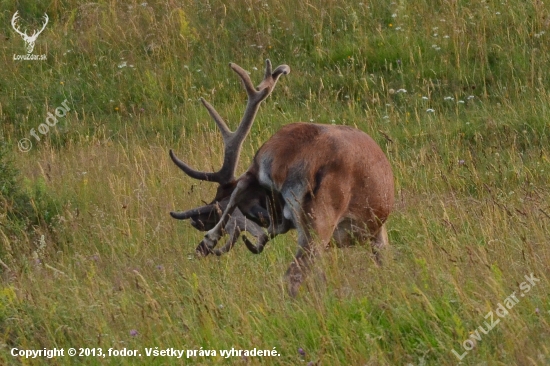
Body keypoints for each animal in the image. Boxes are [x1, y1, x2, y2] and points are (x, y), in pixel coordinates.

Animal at [170, 58, 394, 296]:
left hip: (262, 174)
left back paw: (209, 241)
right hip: (321, 219)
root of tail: (285, 159)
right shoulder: (377, 230)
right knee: (294, 274)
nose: (199, 220)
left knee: (243, 186)